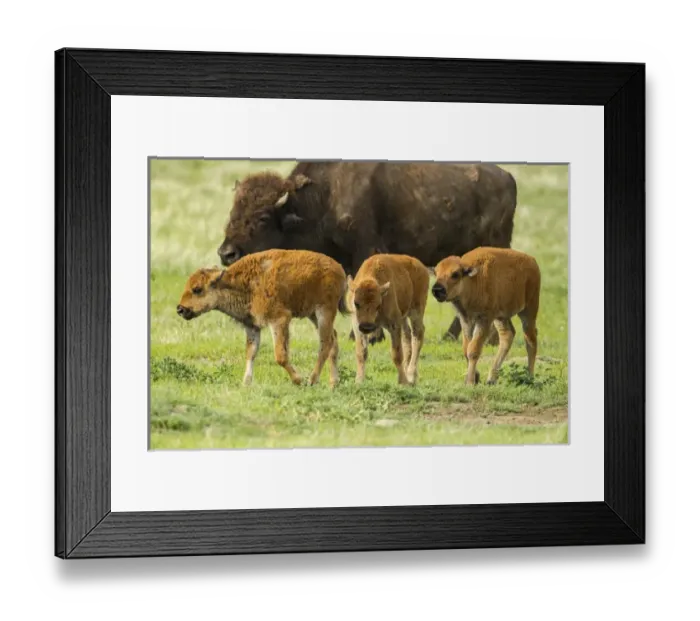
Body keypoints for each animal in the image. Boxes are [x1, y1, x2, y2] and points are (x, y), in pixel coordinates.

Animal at [176, 249, 348, 388]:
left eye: (197, 289)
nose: (180, 309)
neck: (245, 284)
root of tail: (339, 269)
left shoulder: (279, 320)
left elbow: (280, 355)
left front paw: (298, 380)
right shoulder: (252, 326)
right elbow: (251, 352)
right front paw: (246, 383)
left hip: (324, 312)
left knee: (326, 344)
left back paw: (312, 380)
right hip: (313, 315)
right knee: (334, 339)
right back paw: (333, 383)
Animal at [216, 161, 517, 346]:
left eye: (263, 217)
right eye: (233, 211)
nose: (226, 253)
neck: (322, 198)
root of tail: (509, 178)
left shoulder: (365, 251)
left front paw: (367, 336)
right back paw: (454, 337)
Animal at [346, 254, 430, 386]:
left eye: (378, 305)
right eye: (356, 303)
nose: (367, 326)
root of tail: (421, 266)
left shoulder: (394, 324)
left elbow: (397, 354)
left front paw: (403, 381)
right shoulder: (357, 325)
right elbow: (361, 352)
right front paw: (359, 381)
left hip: (417, 311)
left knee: (417, 335)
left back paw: (411, 375)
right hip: (403, 317)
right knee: (407, 336)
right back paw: (408, 371)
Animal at [432, 247, 541, 386]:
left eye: (455, 274)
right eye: (436, 273)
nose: (437, 290)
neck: (473, 281)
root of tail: (532, 261)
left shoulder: (484, 320)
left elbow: (473, 349)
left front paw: (470, 382)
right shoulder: (465, 319)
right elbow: (466, 348)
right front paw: (475, 377)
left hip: (529, 310)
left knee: (530, 340)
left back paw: (529, 377)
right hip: (501, 317)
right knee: (507, 336)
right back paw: (491, 379)